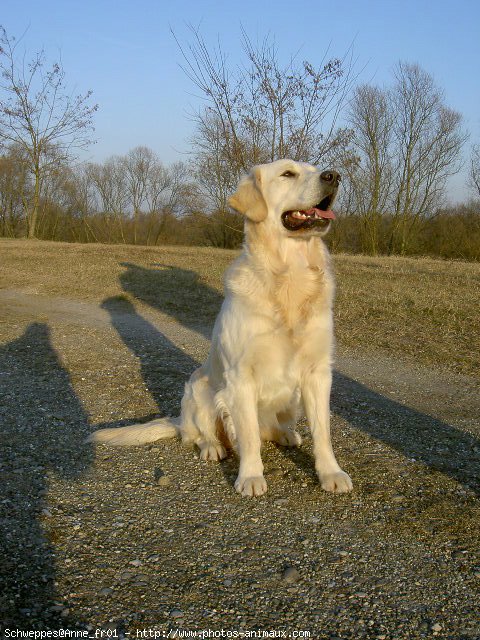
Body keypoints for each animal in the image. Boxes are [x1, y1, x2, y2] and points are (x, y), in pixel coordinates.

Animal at [88, 158, 352, 498]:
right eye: (288, 173)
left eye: (315, 168)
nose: (334, 176)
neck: (289, 275)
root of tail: (179, 420)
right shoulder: (240, 376)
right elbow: (248, 436)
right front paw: (250, 476)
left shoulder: (318, 372)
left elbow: (323, 432)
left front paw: (331, 472)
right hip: (198, 388)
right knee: (202, 434)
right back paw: (213, 447)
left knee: (276, 429)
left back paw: (287, 435)